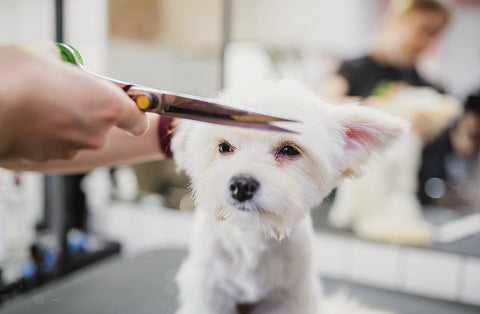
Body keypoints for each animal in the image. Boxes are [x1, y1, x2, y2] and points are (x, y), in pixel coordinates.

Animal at [171, 81, 406, 314]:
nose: (241, 185)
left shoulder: (291, 296)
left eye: (289, 150)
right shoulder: (209, 290)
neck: (253, 238)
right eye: (224, 147)